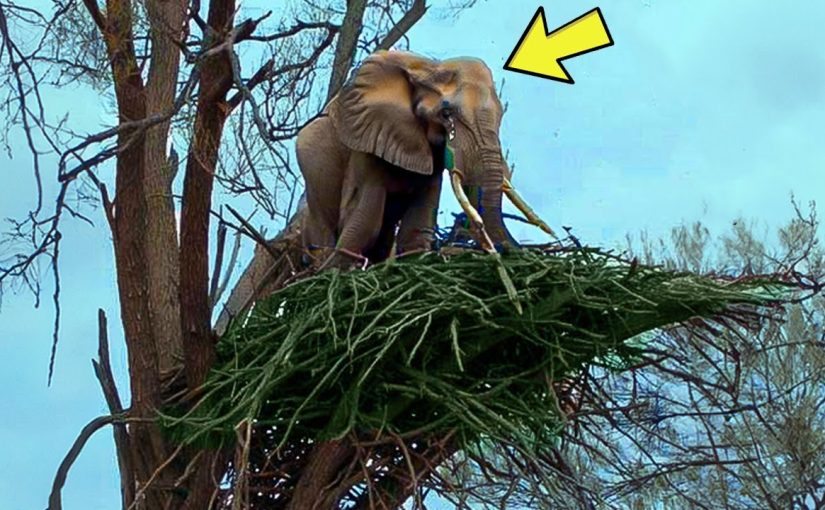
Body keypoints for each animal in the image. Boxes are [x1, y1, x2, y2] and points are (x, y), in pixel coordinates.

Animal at [297, 50, 554, 267]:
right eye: (446, 113)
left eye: (501, 115)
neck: (430, 67)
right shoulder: (368, 138)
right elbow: (365, 222)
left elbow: (417, 226)